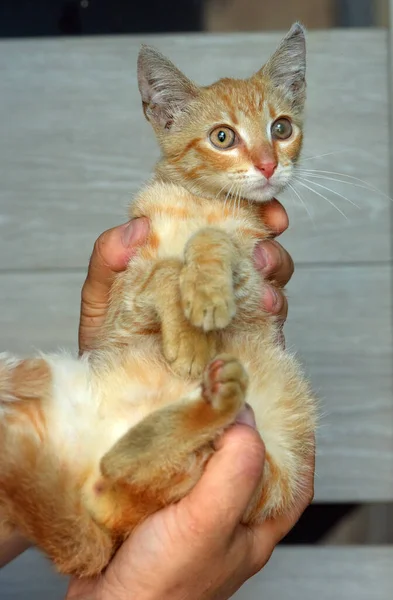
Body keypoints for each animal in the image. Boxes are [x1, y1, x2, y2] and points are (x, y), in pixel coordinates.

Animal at [0, 23, 316, 576]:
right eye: (222, 136)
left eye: (281, 128)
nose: (269, 164)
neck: (201, 205)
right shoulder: (125, 297)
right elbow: (166, 268)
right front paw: (191, 326)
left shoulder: (253, 276)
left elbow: (215, 245)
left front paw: (204, 292)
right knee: (116, 473)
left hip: (264, 471)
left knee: (125, 473)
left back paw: (211, 400)